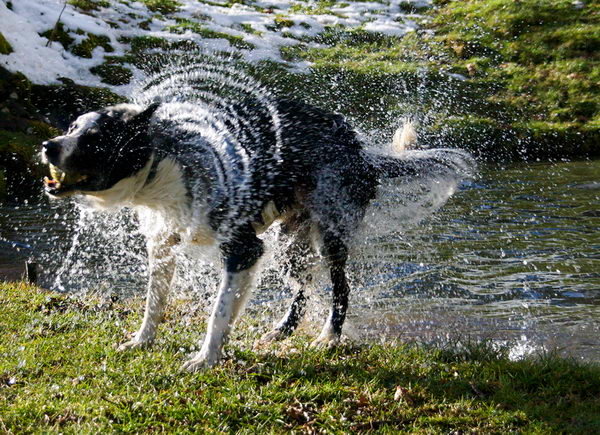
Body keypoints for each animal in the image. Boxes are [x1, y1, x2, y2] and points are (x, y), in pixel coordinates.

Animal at [41, 98, 474, 372]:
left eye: (95, 138)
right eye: (71, 127)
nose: (48, 145)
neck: (163, 164)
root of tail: (360, 150)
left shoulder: (244, 249)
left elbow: (217, 314)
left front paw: (204, 360)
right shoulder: (163, 246)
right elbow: (154, 303)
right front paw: (142, 341)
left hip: (330, 235)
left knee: (340, 287)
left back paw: (328, 338)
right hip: (288, 246)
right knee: (302, 290)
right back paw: (282, 331)